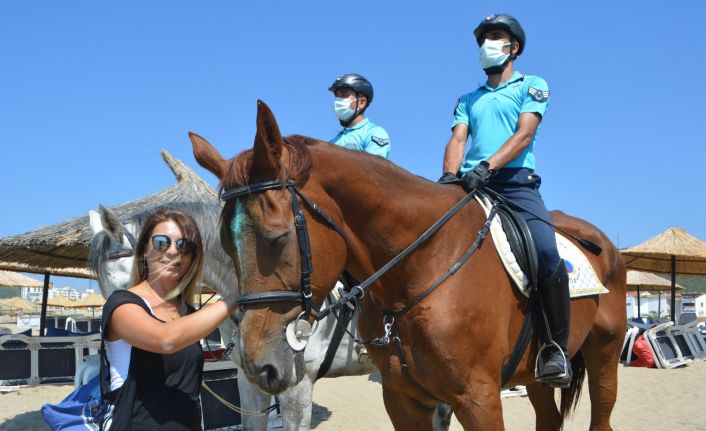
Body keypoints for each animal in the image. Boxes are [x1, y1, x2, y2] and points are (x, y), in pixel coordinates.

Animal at [190, 100, 627, 431]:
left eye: (277, 236)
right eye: (225, 244)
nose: (258, 363)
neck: (423, 265)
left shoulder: (479, 397)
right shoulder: (402, 397)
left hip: (604, 354)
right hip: (533, 373)